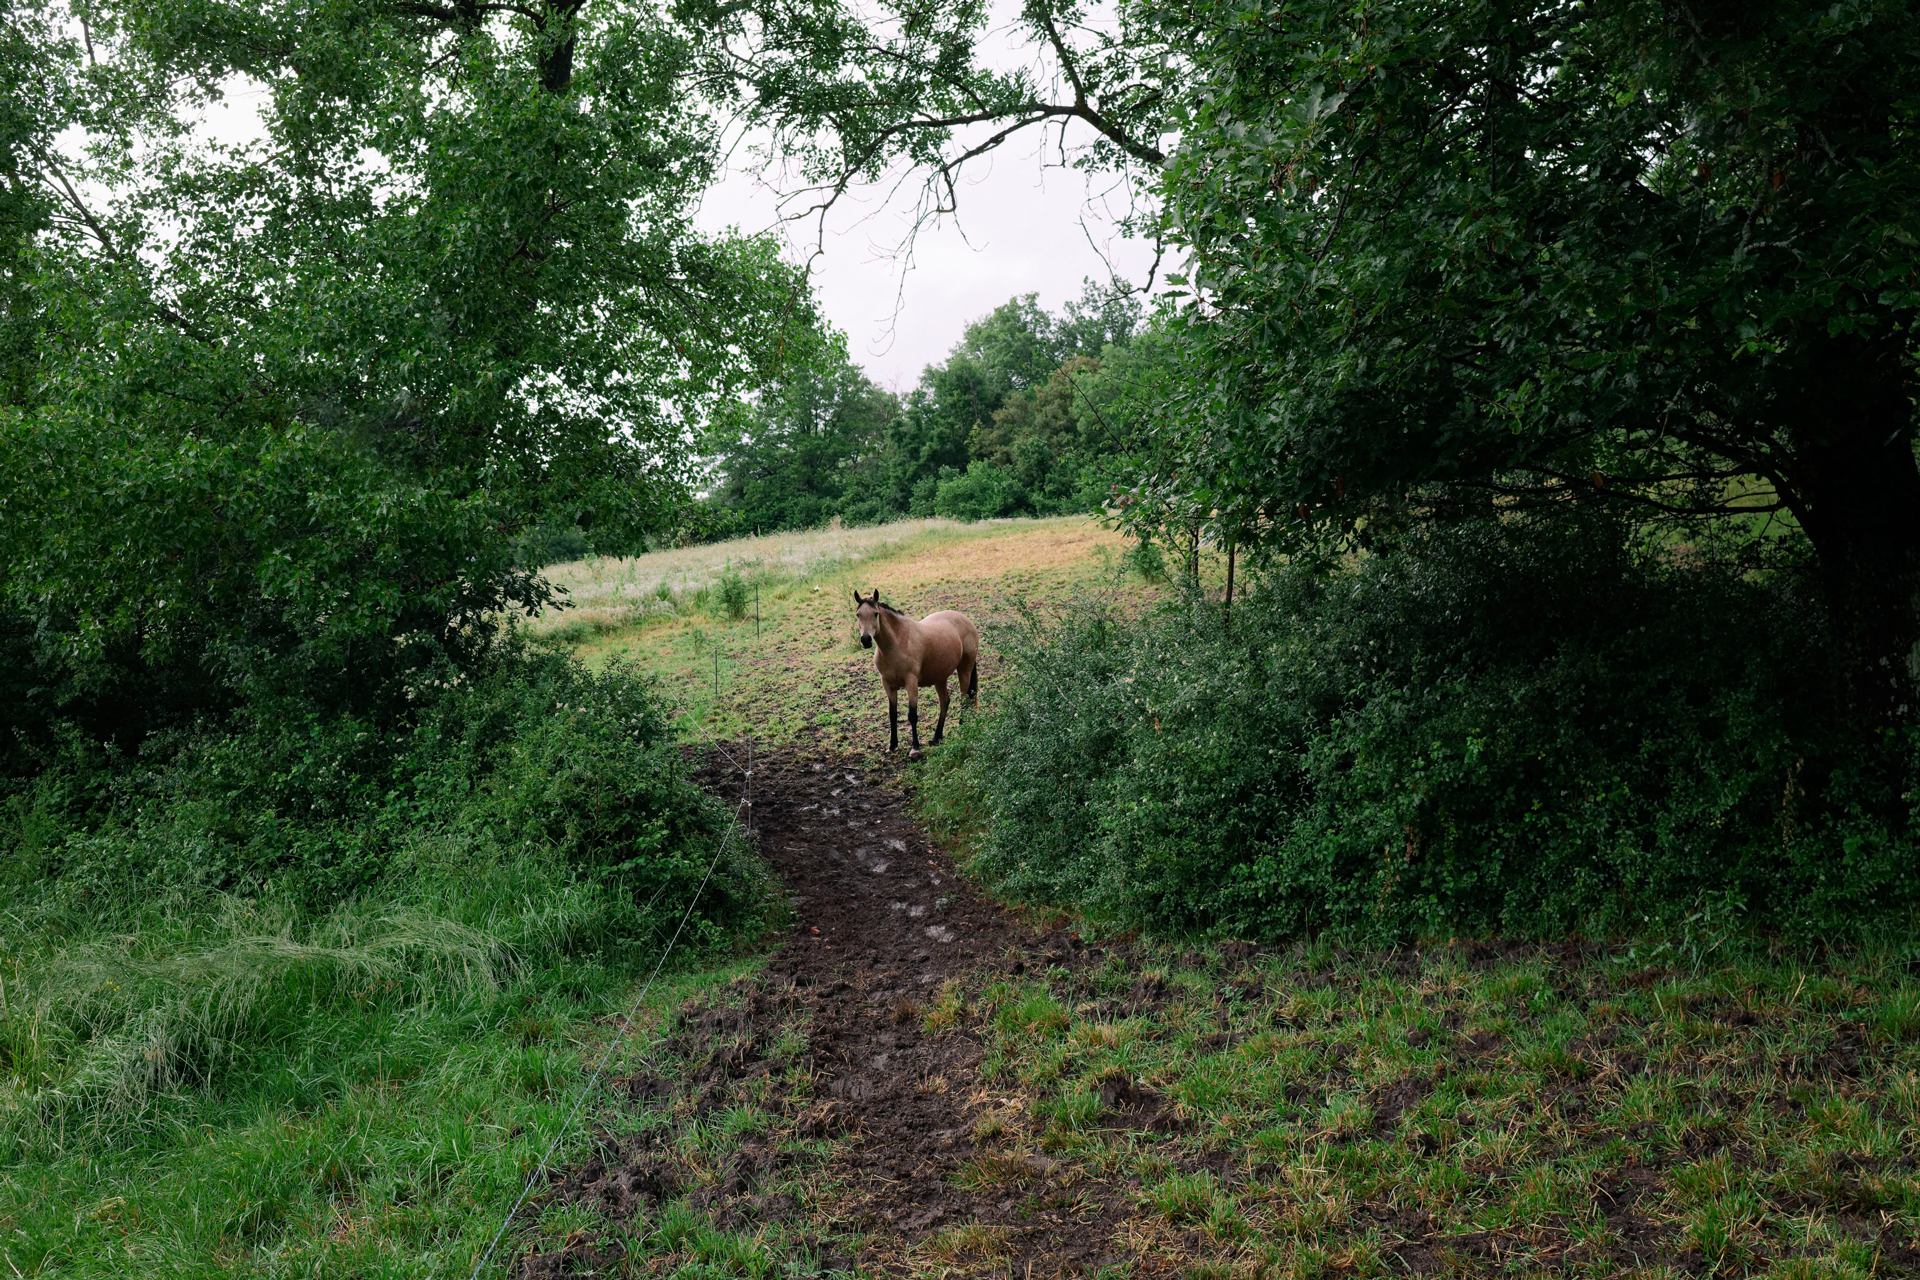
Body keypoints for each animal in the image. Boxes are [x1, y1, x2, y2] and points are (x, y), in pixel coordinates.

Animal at [852, 590, 979, 758]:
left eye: (875, 614)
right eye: (858, 614)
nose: (866, 640)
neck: (897, 643)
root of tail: (965, 620)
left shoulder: (911, 682)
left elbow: (912, 715)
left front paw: (915, 748)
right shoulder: (888, 685)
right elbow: (892, 714)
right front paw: (892, 745)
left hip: (964, 669)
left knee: (964, 698)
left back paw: (962, 728)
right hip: (940, 678)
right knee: (945, 701)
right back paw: (936, 737)